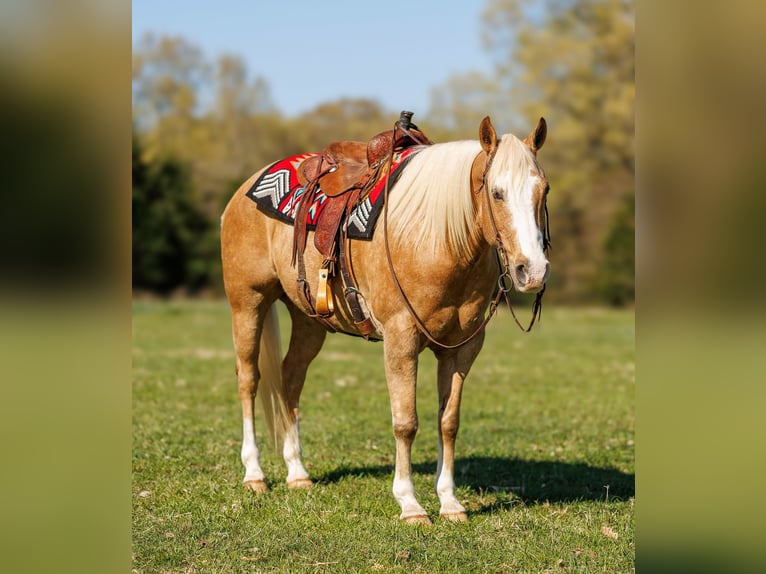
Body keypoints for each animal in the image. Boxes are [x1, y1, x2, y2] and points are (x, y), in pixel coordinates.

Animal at [220, 116, 550, 524]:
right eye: (497, 192)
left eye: (544, 190)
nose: (532, 271)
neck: (435, 237)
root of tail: (245, 188)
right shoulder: (400, 340)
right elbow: (405, 422)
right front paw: (410, 503)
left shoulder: (463, 348)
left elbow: (449, 423)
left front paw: (450, 502)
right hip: (247, 303)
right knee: (249, 379)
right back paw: (254, 473)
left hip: (309, 319)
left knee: (290, 378)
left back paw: (297, 472)